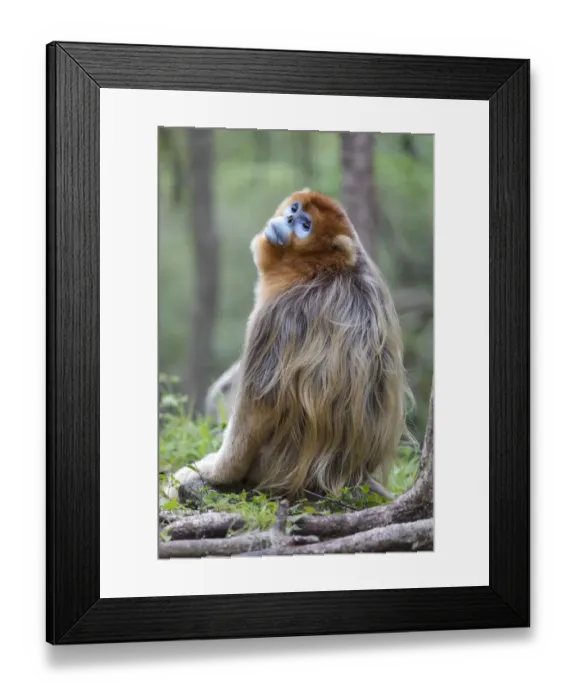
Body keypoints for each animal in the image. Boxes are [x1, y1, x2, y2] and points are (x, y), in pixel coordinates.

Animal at [169, 188, 412, 503]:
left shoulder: (276, 315)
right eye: (294, 210)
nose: (287, 219)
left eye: (305, 226)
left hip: (271, 472)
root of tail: (351, 477)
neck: (322, 270)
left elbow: (254, 414)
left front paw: (212, 474)